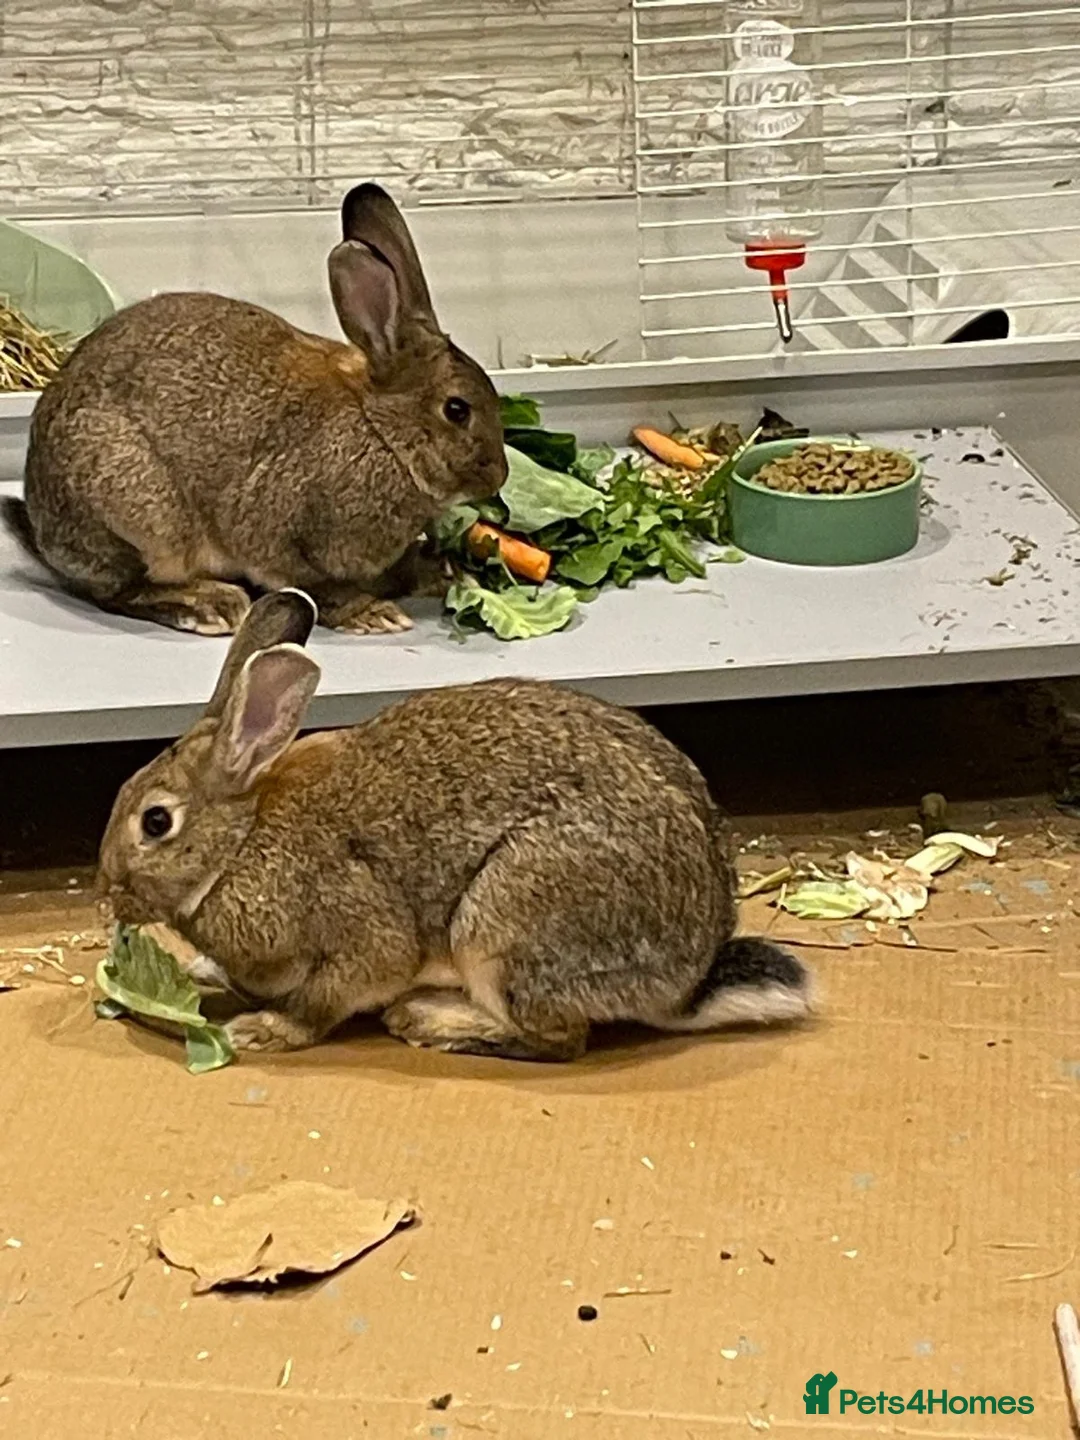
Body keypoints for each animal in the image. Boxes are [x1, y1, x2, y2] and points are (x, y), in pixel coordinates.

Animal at [2, 184, 506, 637]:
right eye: (457, 409)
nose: (498, 476)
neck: (380, 432)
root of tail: (44, 530)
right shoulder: (281, 538)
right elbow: (316, 587)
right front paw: (371, 614)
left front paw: (442, 572)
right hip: (139, 513)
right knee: (118, 591)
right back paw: (209, 604)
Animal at [97, 589, 814, 1061]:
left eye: (155, 822)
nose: (109, 892)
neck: (241, 841)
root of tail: (686, 986)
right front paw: (203, 974)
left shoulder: (359, 933)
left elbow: (327, 997)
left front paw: (262, 1031)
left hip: (503, 924)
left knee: (559, 1040)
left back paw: (431, 1022)